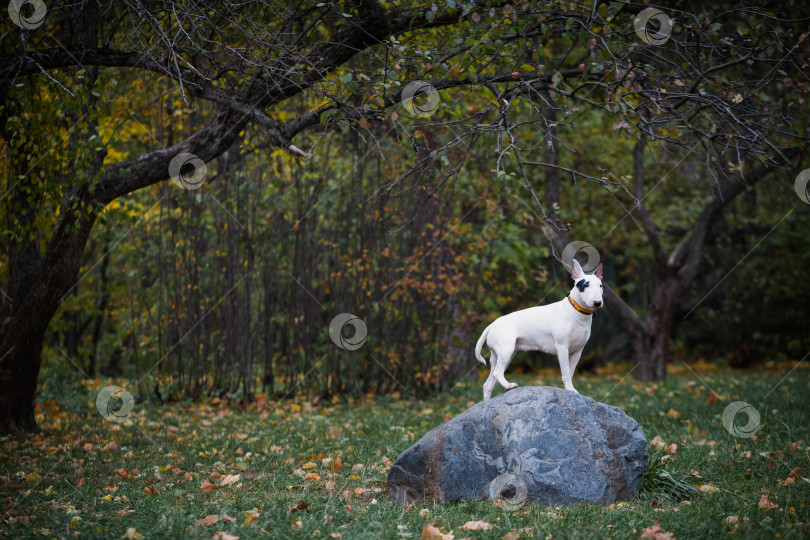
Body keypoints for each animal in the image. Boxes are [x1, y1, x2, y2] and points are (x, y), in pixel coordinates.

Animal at [474, 260, 600, 402]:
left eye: (600, 285)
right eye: (585, 285)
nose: (597, 302)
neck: (575, 312)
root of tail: (491, 325)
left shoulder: (577, 351)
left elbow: (571, 371)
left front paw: (570, 389)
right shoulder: (562, 348)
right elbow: (566, 372)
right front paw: (570, 389)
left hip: (500, 355)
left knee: (488, 384)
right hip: (506, 351)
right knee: (497, 372)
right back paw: (509, 385)